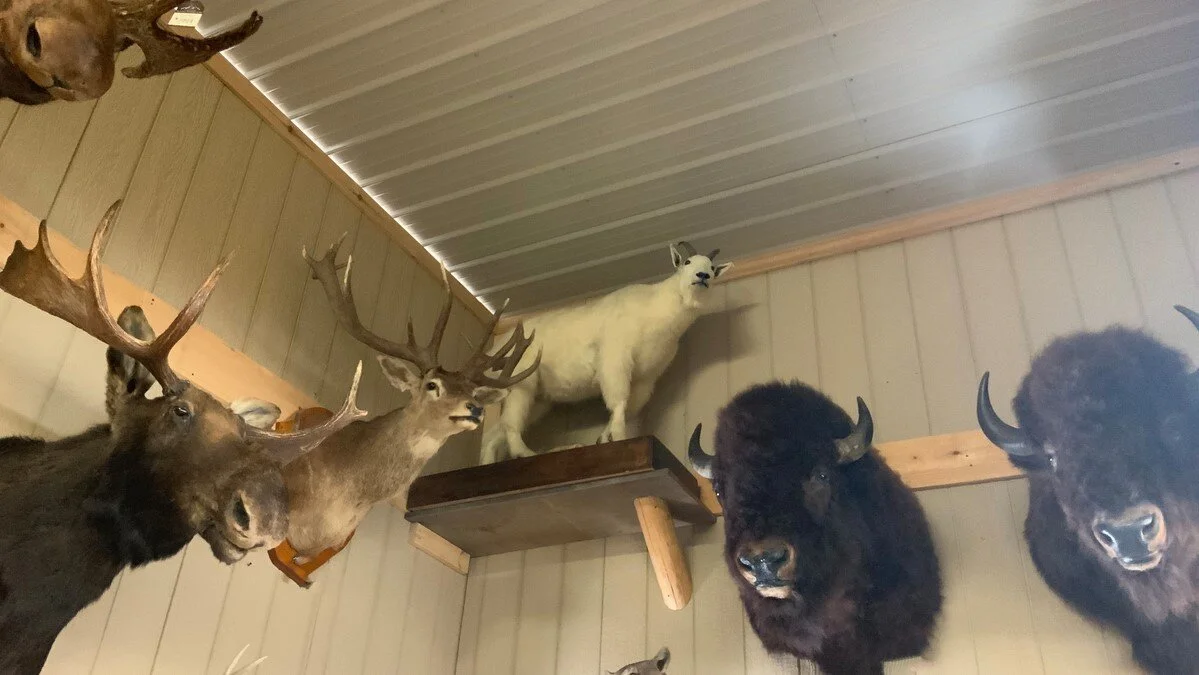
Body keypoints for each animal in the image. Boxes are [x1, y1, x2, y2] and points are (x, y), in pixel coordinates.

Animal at [480, 240, 732, 463]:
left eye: (712, 268)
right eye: (687, 262)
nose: (703, 276)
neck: (655, 311)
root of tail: (496, 346)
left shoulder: (646, 379)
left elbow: (628, 409)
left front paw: (603, 439)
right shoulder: (615, 360)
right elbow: (619, 402)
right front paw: (620, 439)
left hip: (538, 399)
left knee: (495, 434)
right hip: (521, 381)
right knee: (511, 425)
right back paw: (525, 453)